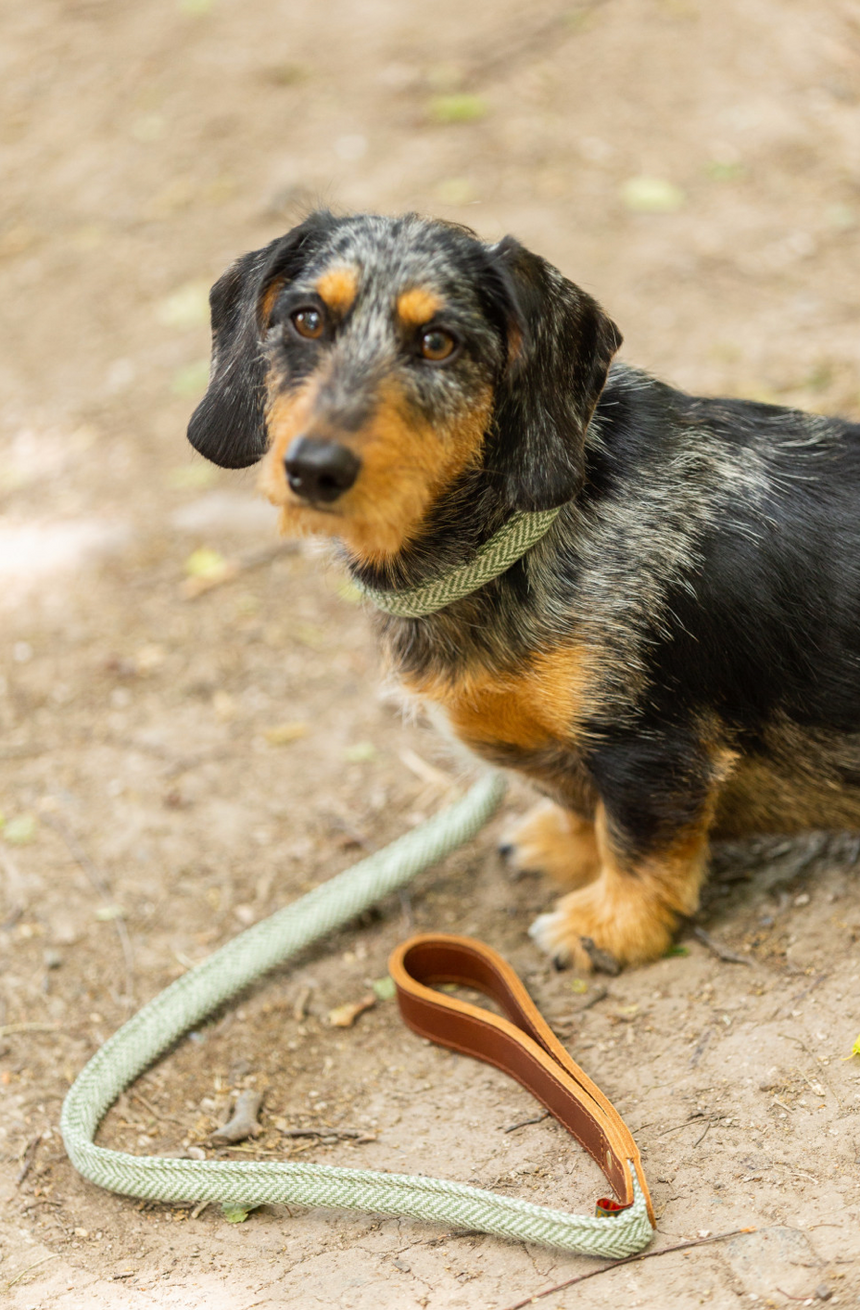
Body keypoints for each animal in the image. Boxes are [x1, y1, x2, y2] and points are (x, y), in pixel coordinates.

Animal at [186, 212, 859, 974]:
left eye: (438, 342)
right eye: (306, 320)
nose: (314, 470)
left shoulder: (650, 749)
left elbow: (638, 846)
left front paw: (608, 929)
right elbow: (578, 805)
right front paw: (563, 847)